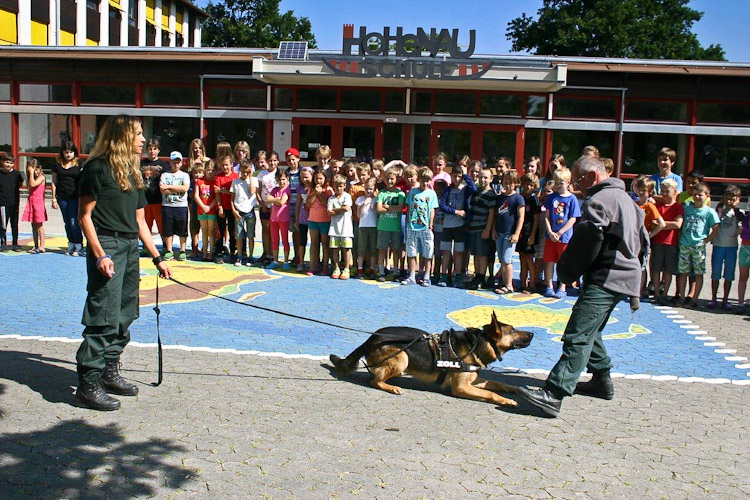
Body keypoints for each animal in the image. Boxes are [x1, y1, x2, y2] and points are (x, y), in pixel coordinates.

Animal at [328, 312, 536, 406]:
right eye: (513, 330)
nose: (533, 334)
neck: (478, 343)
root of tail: (371, 338)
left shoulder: (473, 380)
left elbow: (497, 384)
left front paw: (513, 389)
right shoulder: (461, 387)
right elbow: (491, 393)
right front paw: (506, 400)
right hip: (402, 357)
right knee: (375, 380)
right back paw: (391, 387)